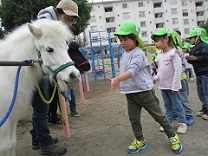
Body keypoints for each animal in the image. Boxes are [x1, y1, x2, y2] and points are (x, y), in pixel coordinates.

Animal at [0, 18, 79, 155]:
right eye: (49, 49)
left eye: (66, 47)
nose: (74, 75)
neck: (8, 73)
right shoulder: (4, 122)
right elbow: (5, 147)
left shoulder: (12, 119)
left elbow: (11, 145)